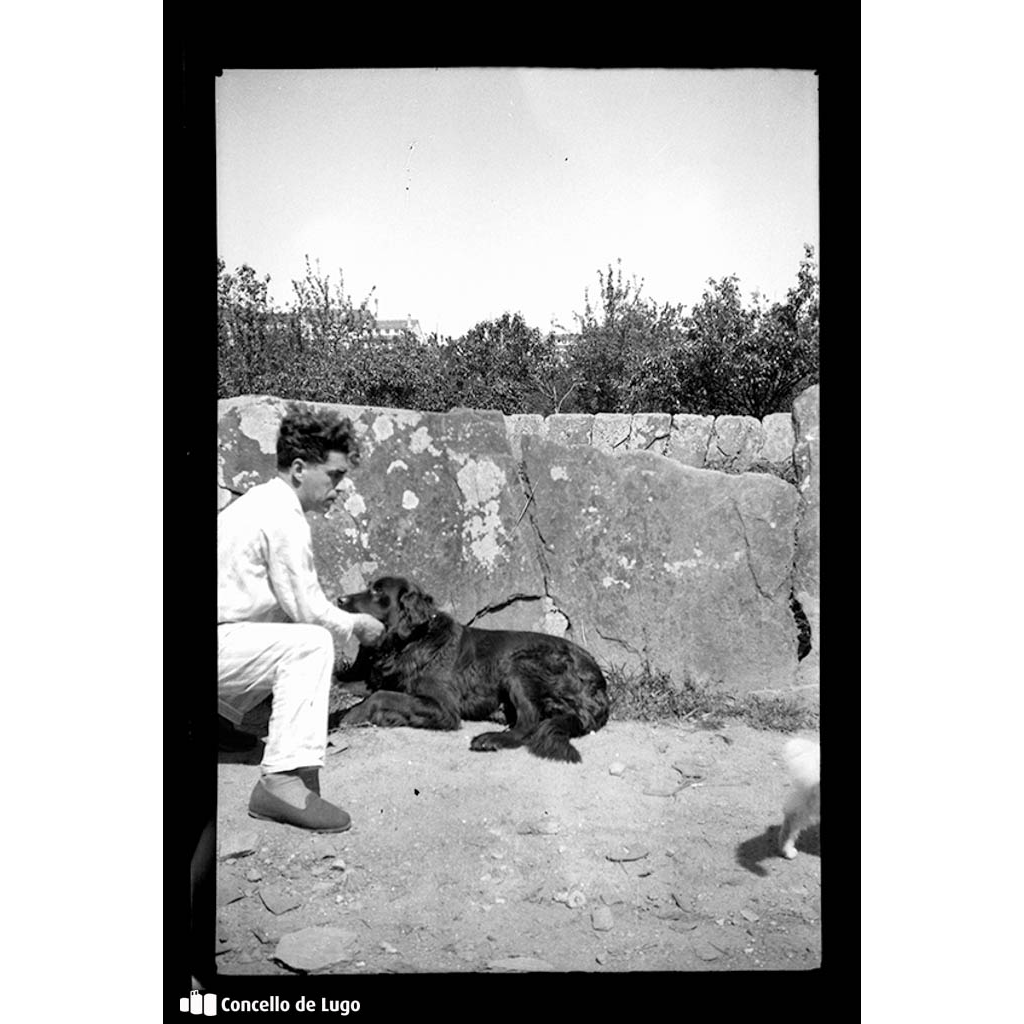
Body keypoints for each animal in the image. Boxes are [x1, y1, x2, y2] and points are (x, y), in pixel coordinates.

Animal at [335, 577, 606, 761]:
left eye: (377, 591)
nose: (339, 599)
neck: (410, 641)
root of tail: (599, 683)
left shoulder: (444, 707)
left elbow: (381, 695)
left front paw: (354, 715)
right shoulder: (380, 681)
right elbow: (344, 685)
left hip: (518, 664)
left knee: (530, 722)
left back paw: (492, 738)